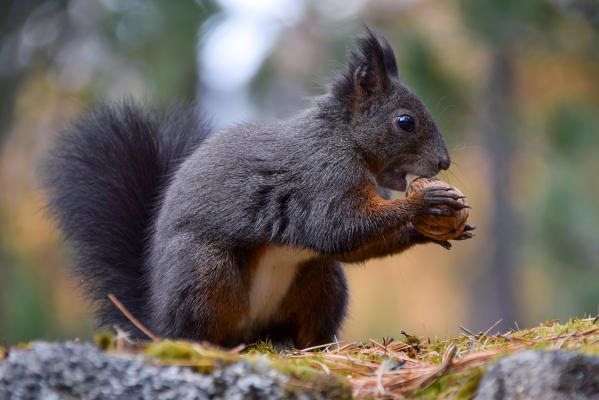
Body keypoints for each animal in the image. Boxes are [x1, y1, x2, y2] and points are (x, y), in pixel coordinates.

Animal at [41, 28, 474, 346]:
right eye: (405, 122)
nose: (444, 163)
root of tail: (154, 323)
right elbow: (340, 227)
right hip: (205, 272)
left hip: (323, 282)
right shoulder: (321, 178)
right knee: (196, 327)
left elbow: (355, 245)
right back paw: (203, 344)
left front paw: (435, 229)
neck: (343, 139)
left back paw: (306, 346)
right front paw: (426, 203)